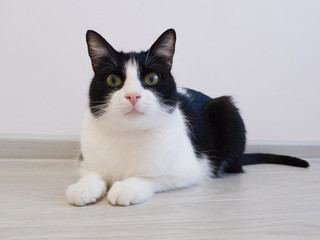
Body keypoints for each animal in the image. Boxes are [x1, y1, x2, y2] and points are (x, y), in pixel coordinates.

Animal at [66, 28, 308, 206]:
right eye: (113, 80)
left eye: (152, 78)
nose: (133, 95)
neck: (129, 135)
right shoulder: (86, 161)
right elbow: (91, 173)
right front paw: (83, 187)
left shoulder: (190, 169)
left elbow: (152, 177)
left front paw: (127, 187)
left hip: (227, 109)